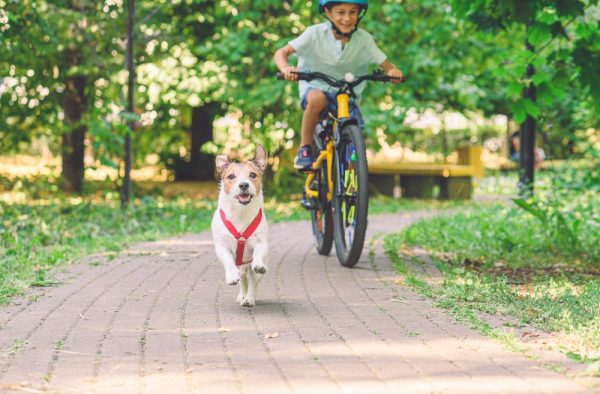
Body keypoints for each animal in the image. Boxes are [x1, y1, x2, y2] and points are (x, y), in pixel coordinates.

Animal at [210, 145, 268, 308]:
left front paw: (258, 264)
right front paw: (231, 276)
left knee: (252, 282)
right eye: (231, 176)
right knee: (243, 280)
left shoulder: (261, 243)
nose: (243, 185)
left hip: (251, 269)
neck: (240, 213)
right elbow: (228, 261)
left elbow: (258, 253)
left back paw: (249, 299)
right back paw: (242, 295)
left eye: (252, 175)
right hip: (241, 267)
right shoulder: (222, 246)